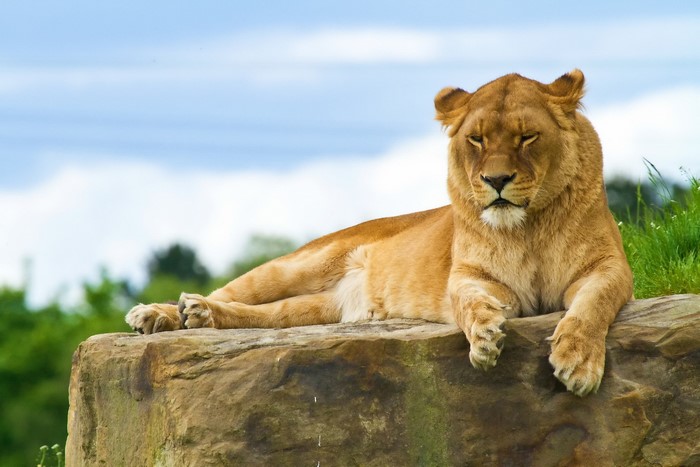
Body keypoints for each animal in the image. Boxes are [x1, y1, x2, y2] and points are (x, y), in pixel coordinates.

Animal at [126, 70, 633, 397]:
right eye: (477, 140)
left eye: (528, 137)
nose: (496, 180)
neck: (527, 228)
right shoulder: (469, 277)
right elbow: (469, 303)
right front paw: (485, 336)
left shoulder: (610, 268)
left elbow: (590, 308)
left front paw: (578, 362)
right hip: (300, 263)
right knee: (233, 291)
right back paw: (162, 313)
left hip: (321, 310)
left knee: (266, 317)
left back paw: (198, 316)